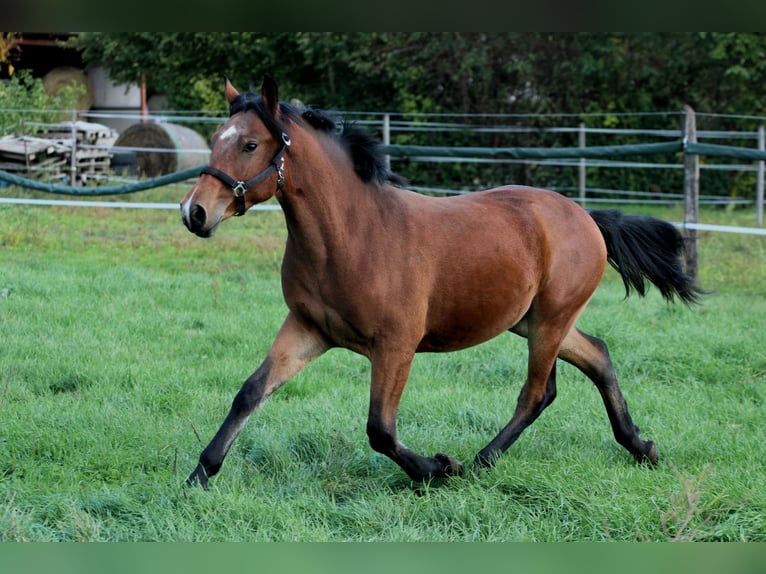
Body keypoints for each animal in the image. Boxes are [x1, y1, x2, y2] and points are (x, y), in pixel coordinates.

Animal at [178, 75, 704, 490]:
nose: (194, 212)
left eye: (250, 145)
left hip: (551, 319)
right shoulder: (308, 329)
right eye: (216, 138)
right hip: (531, 320)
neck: (352, 235)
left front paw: (440, 467)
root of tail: (585, 217)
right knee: (597, 356)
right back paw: (641, 447)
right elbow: (250, 392)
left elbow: (380, 429)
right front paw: (198, 476)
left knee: (538, 392)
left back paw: (481, 461)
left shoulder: (396, 344)